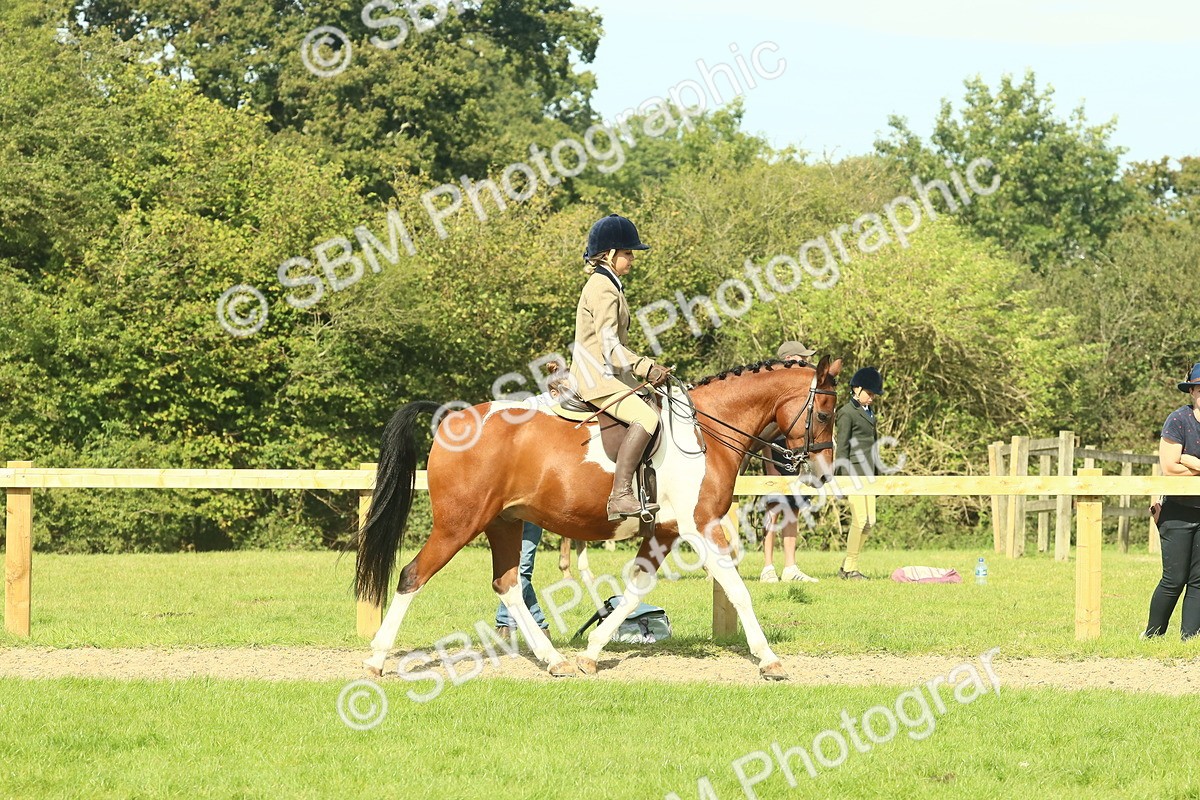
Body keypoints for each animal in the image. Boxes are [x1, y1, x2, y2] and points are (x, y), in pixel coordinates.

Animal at [356, 355, 843, 679]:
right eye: (823, 413)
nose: (823, 472)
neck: (707, 429)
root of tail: (451, 417)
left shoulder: (665, 532)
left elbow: (635, 590)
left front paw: (590, 654)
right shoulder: (700, 527)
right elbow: (738, 591)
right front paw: (769, 660)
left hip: (504, 523)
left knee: (508, 584)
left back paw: (555, 661)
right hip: (458, 525)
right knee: (413, 575)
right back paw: (376, 660)